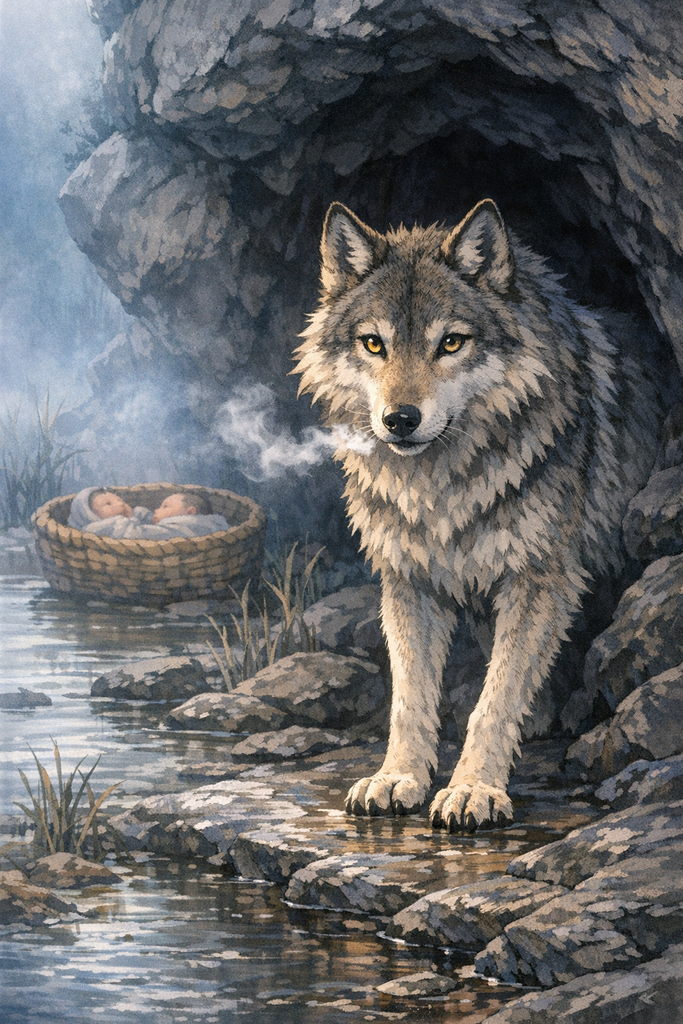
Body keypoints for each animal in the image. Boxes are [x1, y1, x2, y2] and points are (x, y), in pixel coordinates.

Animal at [293, 198, 660, 831]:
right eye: (374, 344)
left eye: (451, 343)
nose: (400, 419)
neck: (442, 487)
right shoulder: (408, 581)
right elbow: (410, 699)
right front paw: (398, 778)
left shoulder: (540, 579)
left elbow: (495, 699)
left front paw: (473, 790)